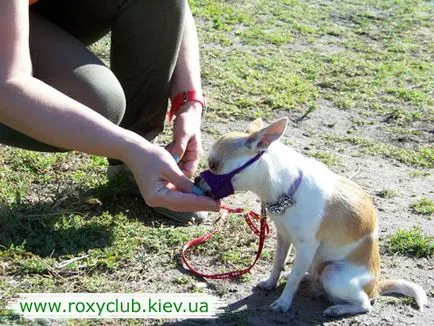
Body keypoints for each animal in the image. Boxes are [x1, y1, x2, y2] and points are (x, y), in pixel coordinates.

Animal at [197, 118, 428, 318]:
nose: (197, 179)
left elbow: (292, 281)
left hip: (333, 274)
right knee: (306, 272)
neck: (285, 192)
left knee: (364, 304)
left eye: (213, 165)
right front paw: (271, 283)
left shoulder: (306, 246)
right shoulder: (284, 237)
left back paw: (336, 308)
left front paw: (283, 303)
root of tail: (376, 285)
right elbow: (277, 263)